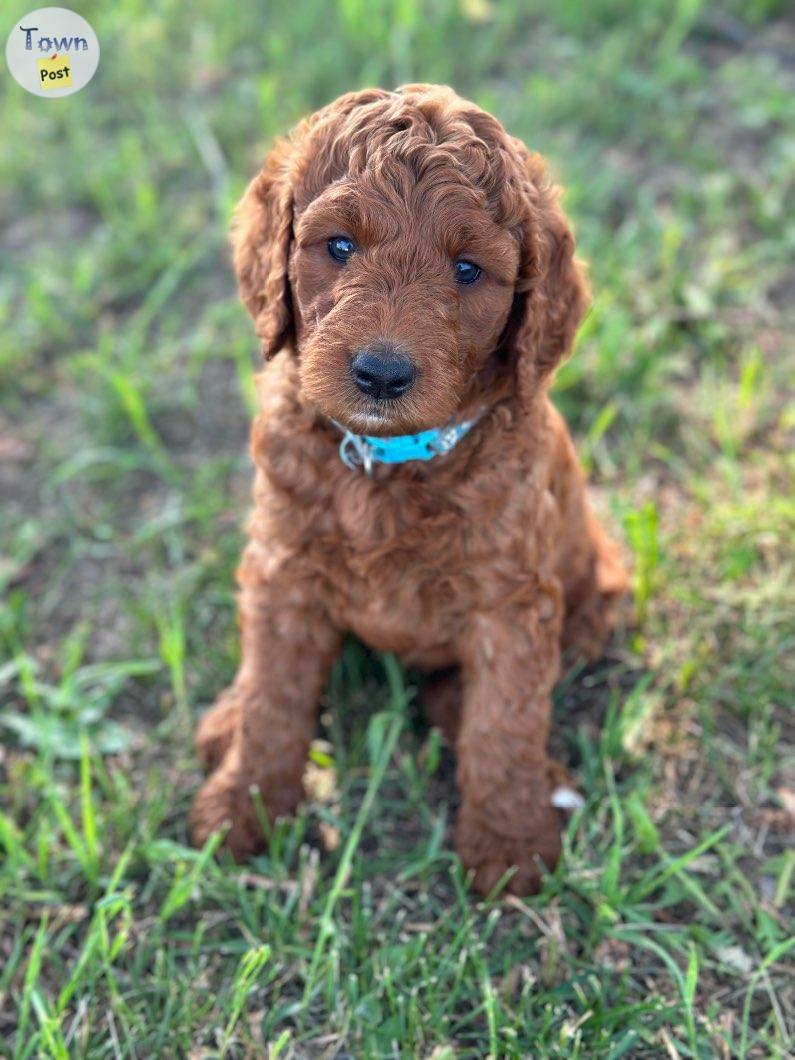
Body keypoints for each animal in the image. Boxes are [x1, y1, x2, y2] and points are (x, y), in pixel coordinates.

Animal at [192, 80, 627, 894]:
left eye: (468, 270)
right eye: (338, 246)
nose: (382, 374)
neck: (387, 463)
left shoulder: (510, 601)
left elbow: (504, 722)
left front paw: (510, 845)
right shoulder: (283, 571)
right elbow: (273, 697)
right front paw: (242, 808)